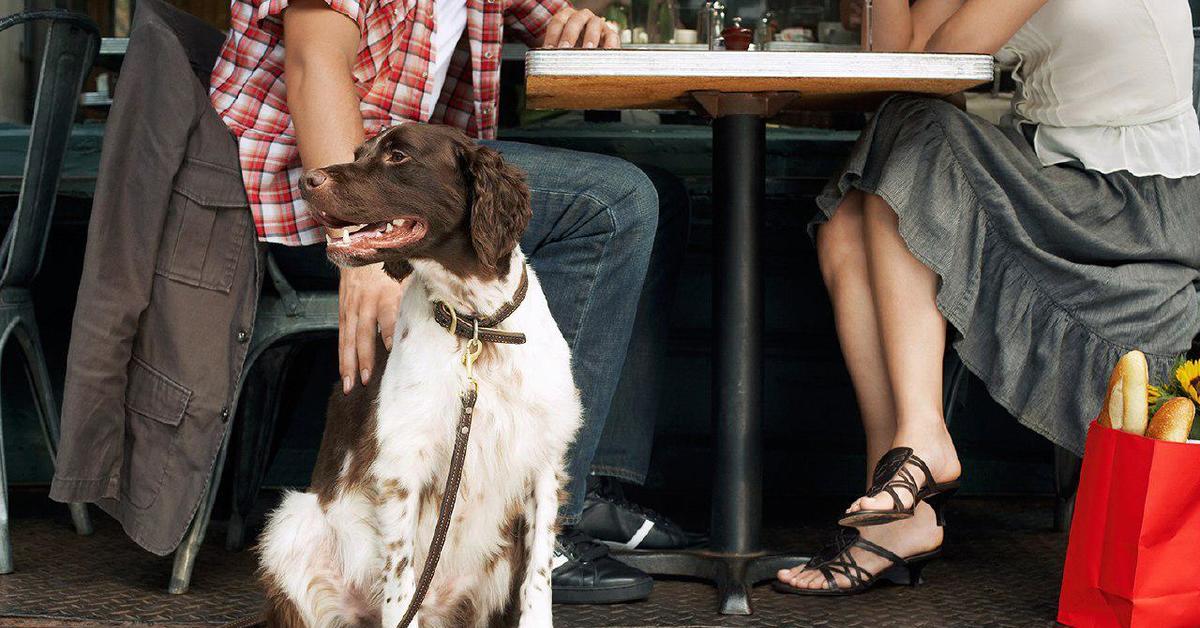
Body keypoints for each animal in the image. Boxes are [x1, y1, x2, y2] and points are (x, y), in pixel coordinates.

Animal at [258, 124, 580, 628]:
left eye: (398, 156)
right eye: (359, 153)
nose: (306, 180)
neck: (477, 327)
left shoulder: (544, 466)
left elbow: (538, 581)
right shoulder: (402, 467)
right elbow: (401, 581)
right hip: (292, 523)